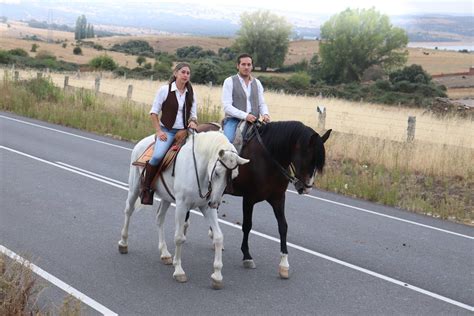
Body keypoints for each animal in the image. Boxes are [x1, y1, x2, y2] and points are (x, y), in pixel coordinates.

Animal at [118, 130, 248, 288]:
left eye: (234, 176)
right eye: (217, 172)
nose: (216, 203)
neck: (199, 169)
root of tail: (142, 142)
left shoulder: (206, 208)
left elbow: (218, 237)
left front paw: (217, 276)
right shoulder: (181, 206)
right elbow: (179, 238)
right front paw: (179, 271)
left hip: (166, 198)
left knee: (159, 218)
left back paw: (164, 253)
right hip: (135, 188)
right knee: (128, 211)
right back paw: (123, 243)